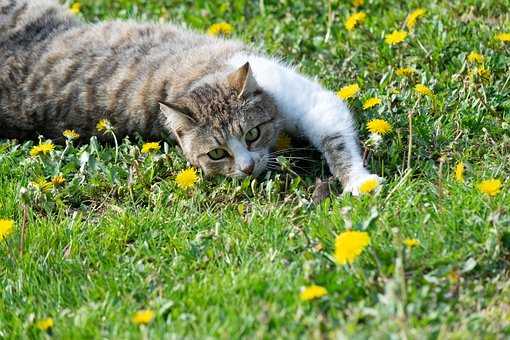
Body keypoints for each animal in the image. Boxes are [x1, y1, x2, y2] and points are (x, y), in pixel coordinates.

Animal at [0, 0, 380, 194]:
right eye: (217, 154)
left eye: (252, 134)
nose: (247, 168)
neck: (194, 79)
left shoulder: (302, 98)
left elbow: (334, 138)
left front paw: (357, 180)